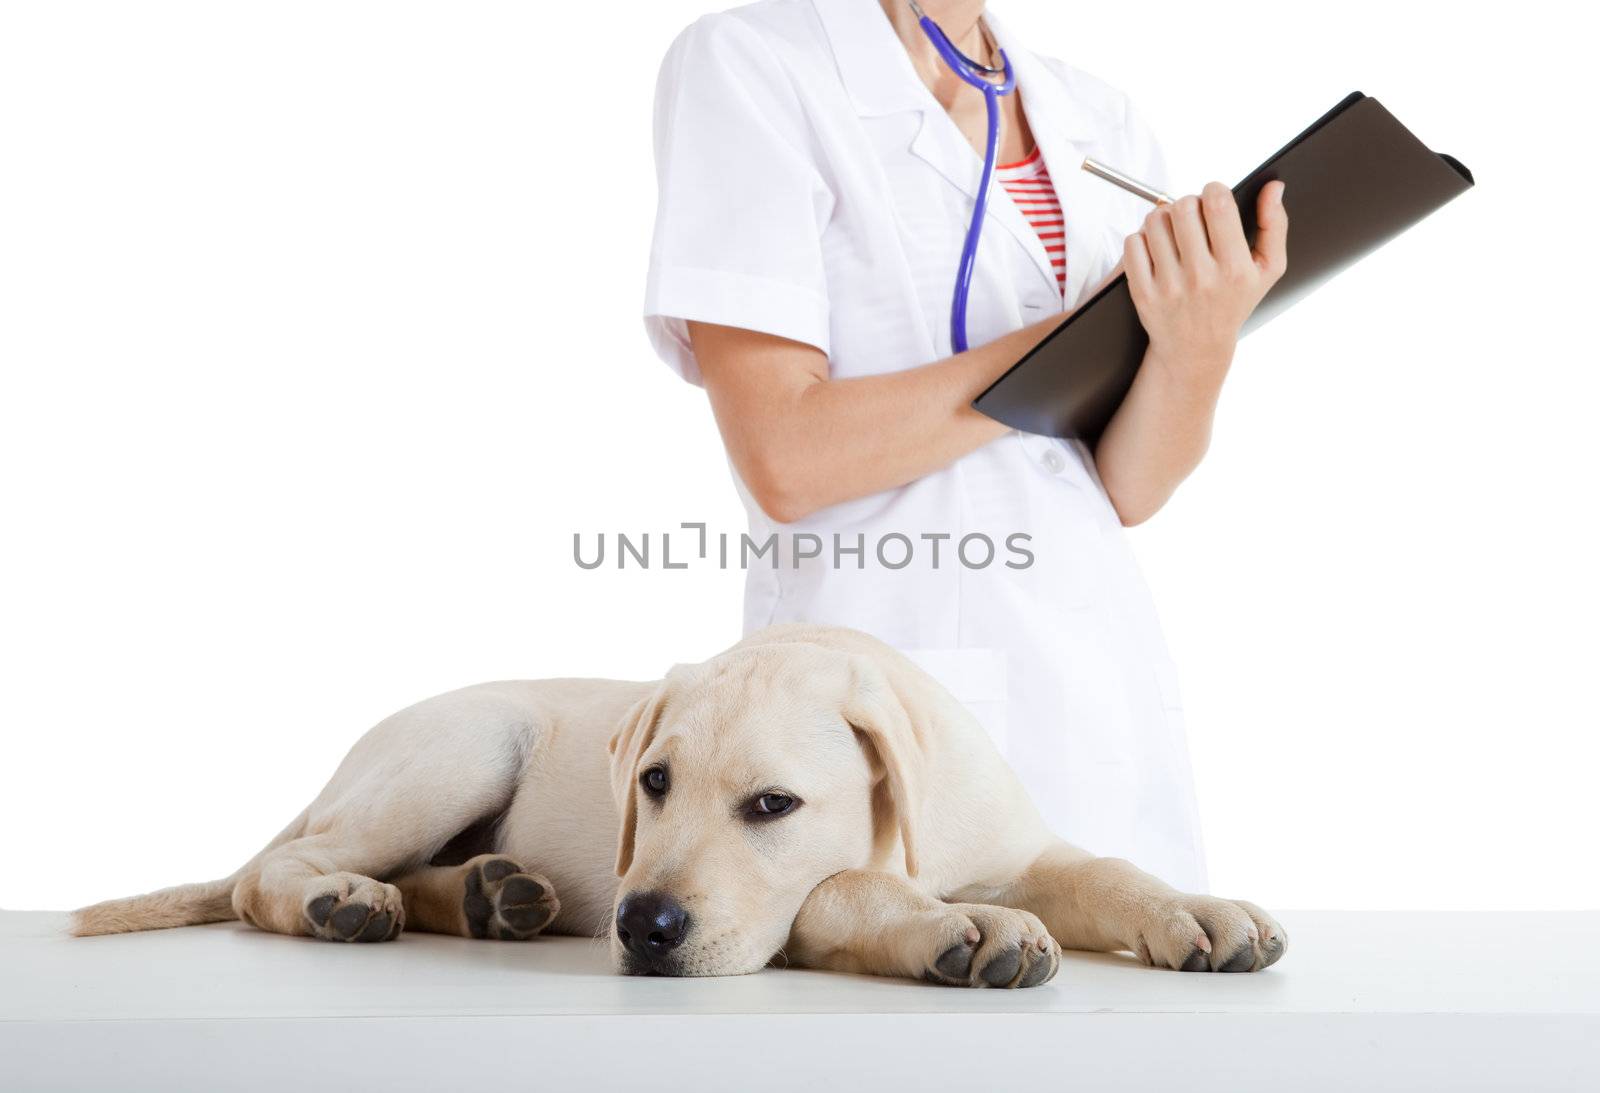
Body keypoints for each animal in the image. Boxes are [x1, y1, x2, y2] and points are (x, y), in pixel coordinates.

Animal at [72, 624, 1286, 985]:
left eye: (773, 803)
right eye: (651, 784)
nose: (641, 927)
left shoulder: (1014, 840)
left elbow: (1103, 868)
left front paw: (1197, 909)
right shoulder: (795, 912)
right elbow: (843, 887)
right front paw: (959, 924)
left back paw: (494, 895)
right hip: (463, 746)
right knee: (266, 874)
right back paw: (343, 901)